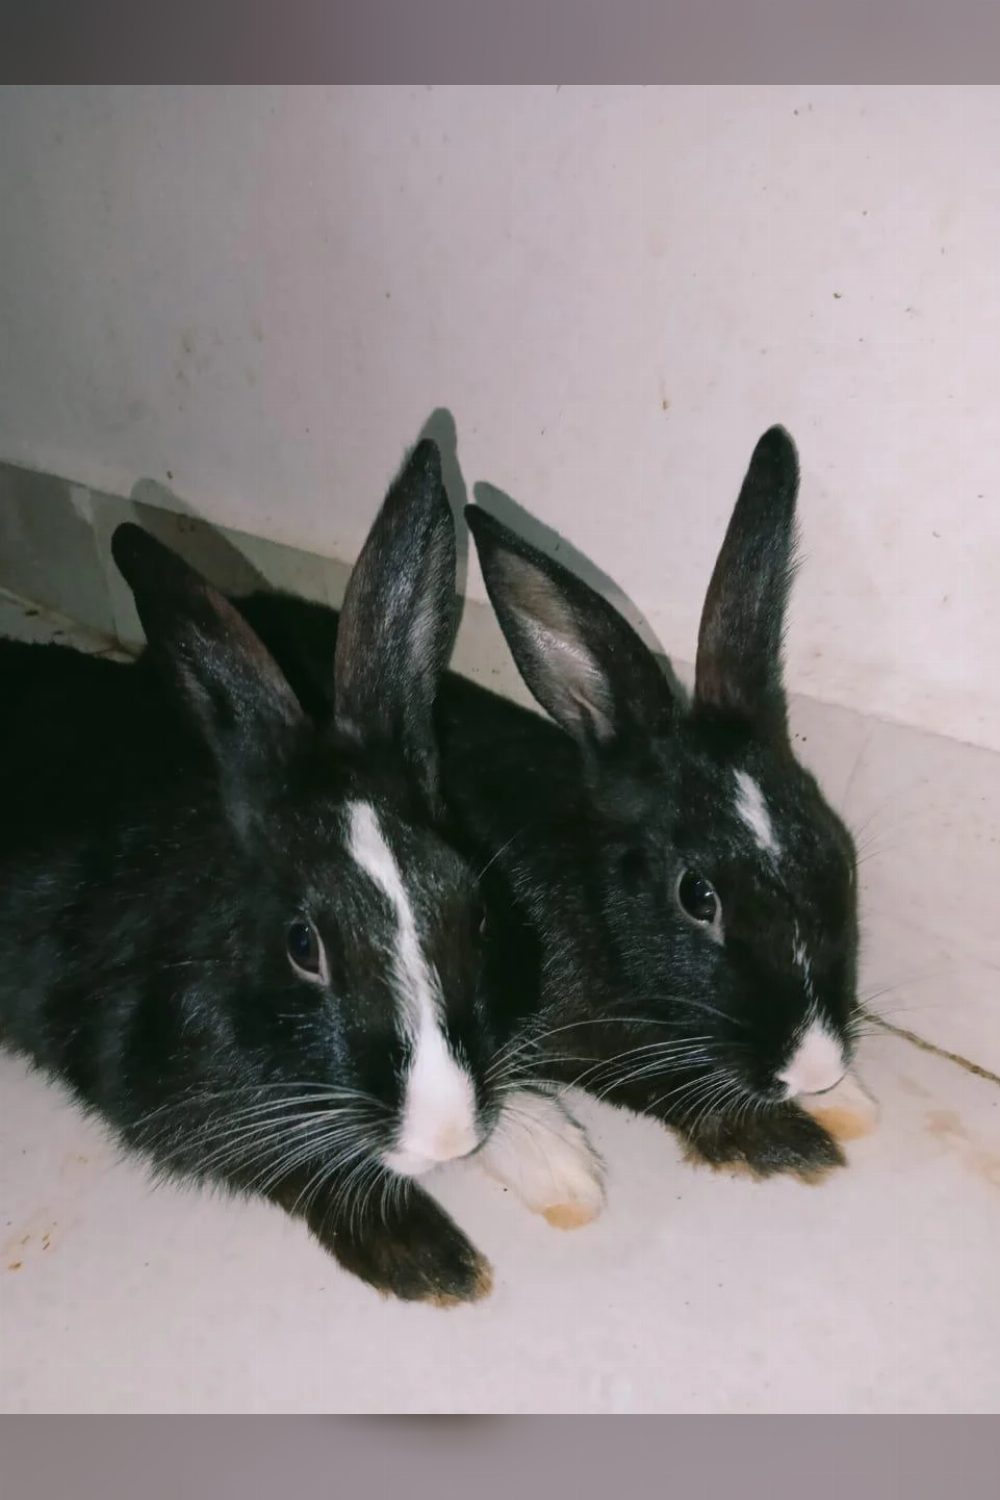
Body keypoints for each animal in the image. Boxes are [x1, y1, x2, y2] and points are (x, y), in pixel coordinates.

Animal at [0, 439, 604, 1307]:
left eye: (477, 911)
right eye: (302, 947)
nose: (446, 1137)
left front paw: (557, 1158)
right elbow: (287, 1164)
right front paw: (432, 1262)